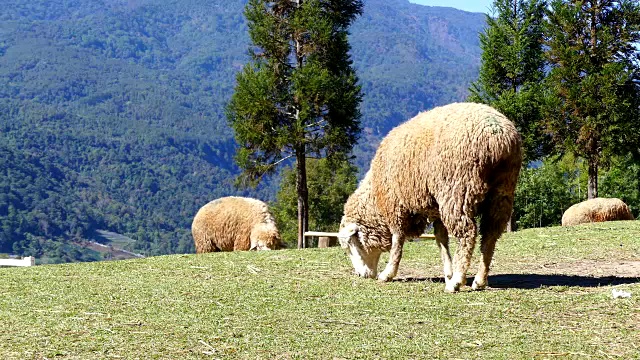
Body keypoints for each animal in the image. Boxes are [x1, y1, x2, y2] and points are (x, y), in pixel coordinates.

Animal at [338, 102, 524, 292]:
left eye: (350, 246)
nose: (360, 275)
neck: (375, 198)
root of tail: (498, 136)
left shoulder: (396, 206)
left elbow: (398, 240)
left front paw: (388, 273)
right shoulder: (435, 209)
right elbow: (441, 239)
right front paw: (448, 273)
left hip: (457, 191)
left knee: (468, 234)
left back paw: (457, 281)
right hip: (502, 192)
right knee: (490, 235)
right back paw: (479, 280)